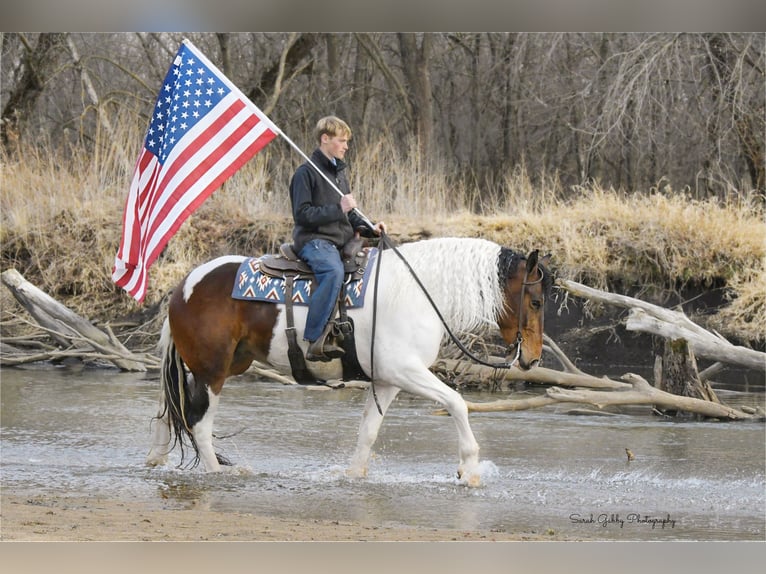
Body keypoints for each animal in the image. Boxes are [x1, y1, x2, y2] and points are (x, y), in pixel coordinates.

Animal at [146, 237, 552, 486]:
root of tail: (183, 287)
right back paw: (216, 472)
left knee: (167, 410)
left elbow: (368, 432)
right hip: (211, 371)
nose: (532, 358)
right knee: (198, 422)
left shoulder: (387, 381)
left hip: (225, 363)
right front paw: (469, 469)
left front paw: (354, 475)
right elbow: (456, 403)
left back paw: (155, 459)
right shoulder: (407, 371)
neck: (420, 292)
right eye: (535, 301)